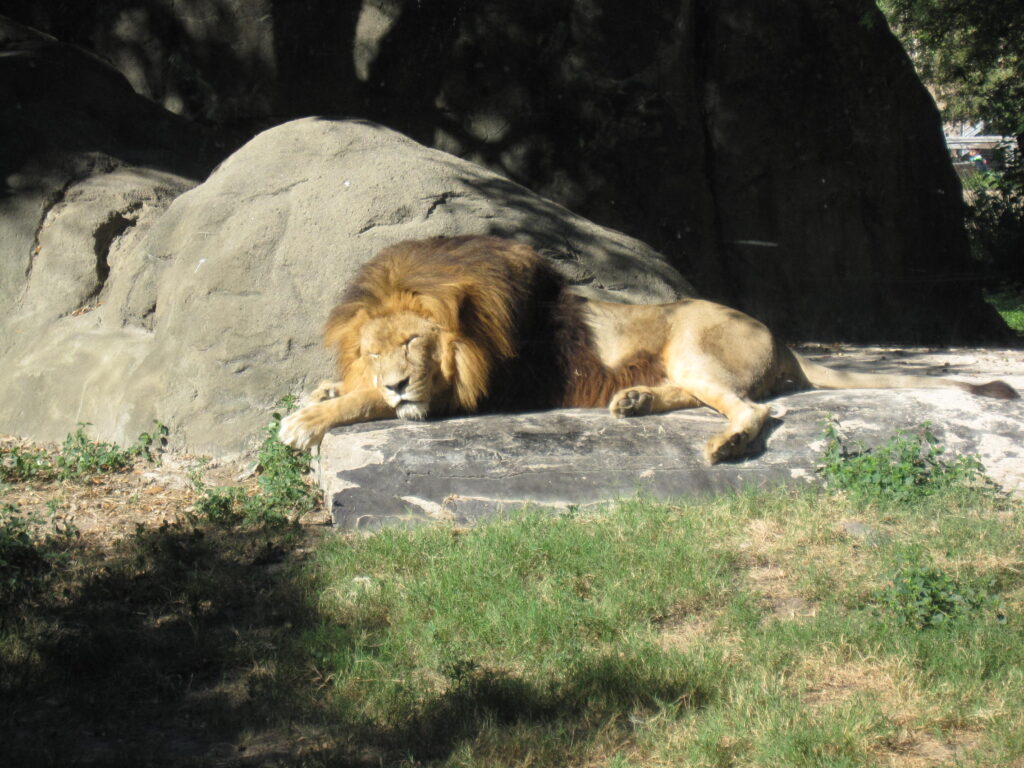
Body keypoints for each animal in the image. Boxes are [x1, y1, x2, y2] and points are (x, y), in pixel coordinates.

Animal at [278, 234, 1015, 462]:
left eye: (413, 342)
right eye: (373, 351)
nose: (398, 380)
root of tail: (784, 340)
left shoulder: (471, 392)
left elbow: (369, 407)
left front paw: (308, 419)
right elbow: (349, 392)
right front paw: (324, 389)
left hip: (695, 343)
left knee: (755, 410)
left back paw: (728, 444)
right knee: (716, 397)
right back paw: (633, 400)